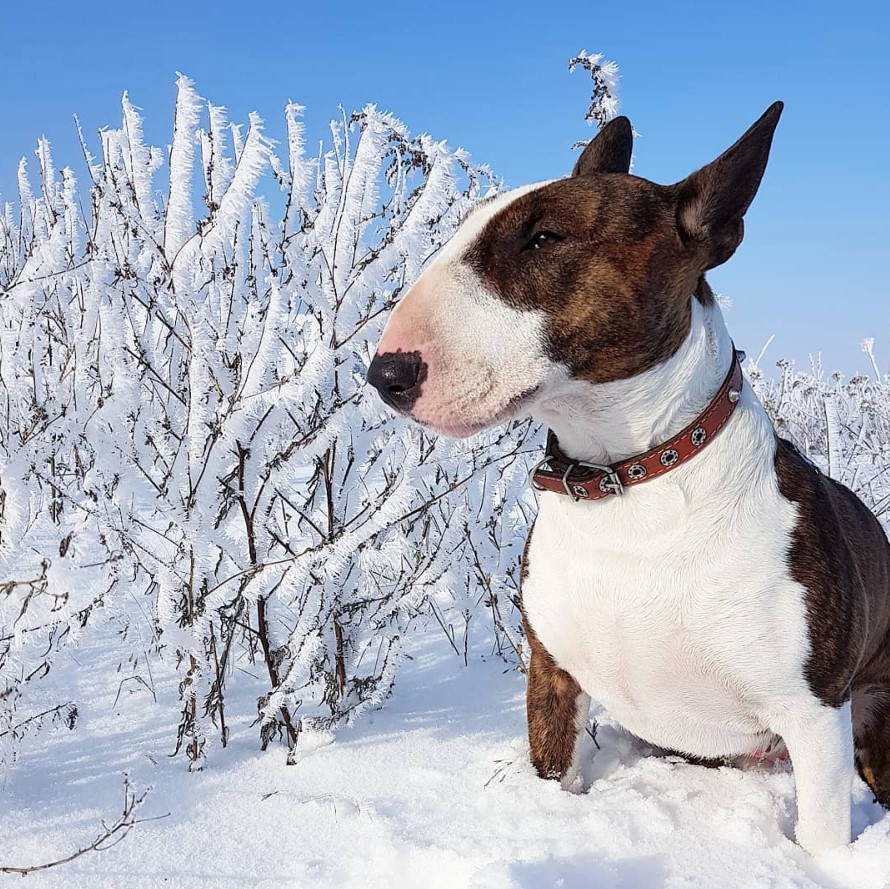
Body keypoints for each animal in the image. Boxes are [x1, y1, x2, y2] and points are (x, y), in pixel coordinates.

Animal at [366, 104, 888, 852]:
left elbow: (820, 840)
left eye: (544, 237)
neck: (628, 487)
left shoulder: (814, 716)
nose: (386, 374)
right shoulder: (552, 671)